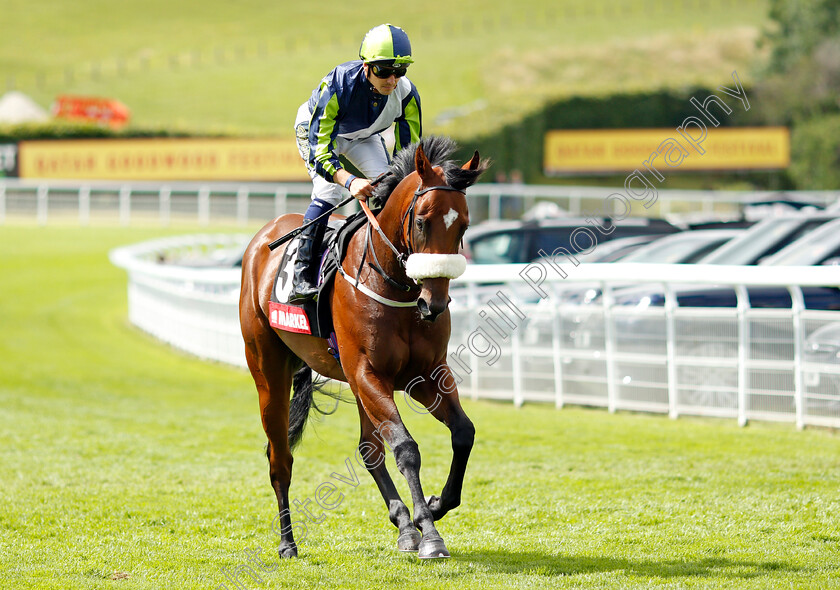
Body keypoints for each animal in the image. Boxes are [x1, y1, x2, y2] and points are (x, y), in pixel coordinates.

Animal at [236, 136, 488, 560]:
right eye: (423, 221)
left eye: (464, 225)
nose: (434, 304)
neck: (395, 286)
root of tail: (263, 238)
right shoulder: (368, 372)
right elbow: (406, 447)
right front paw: (430, 533)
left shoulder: (424, 375)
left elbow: (463, 433)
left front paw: (435, 506)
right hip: (269, 371)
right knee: (279, 457)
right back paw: (288, 542)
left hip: (357, 385)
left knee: (369, 449)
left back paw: (403, 525)